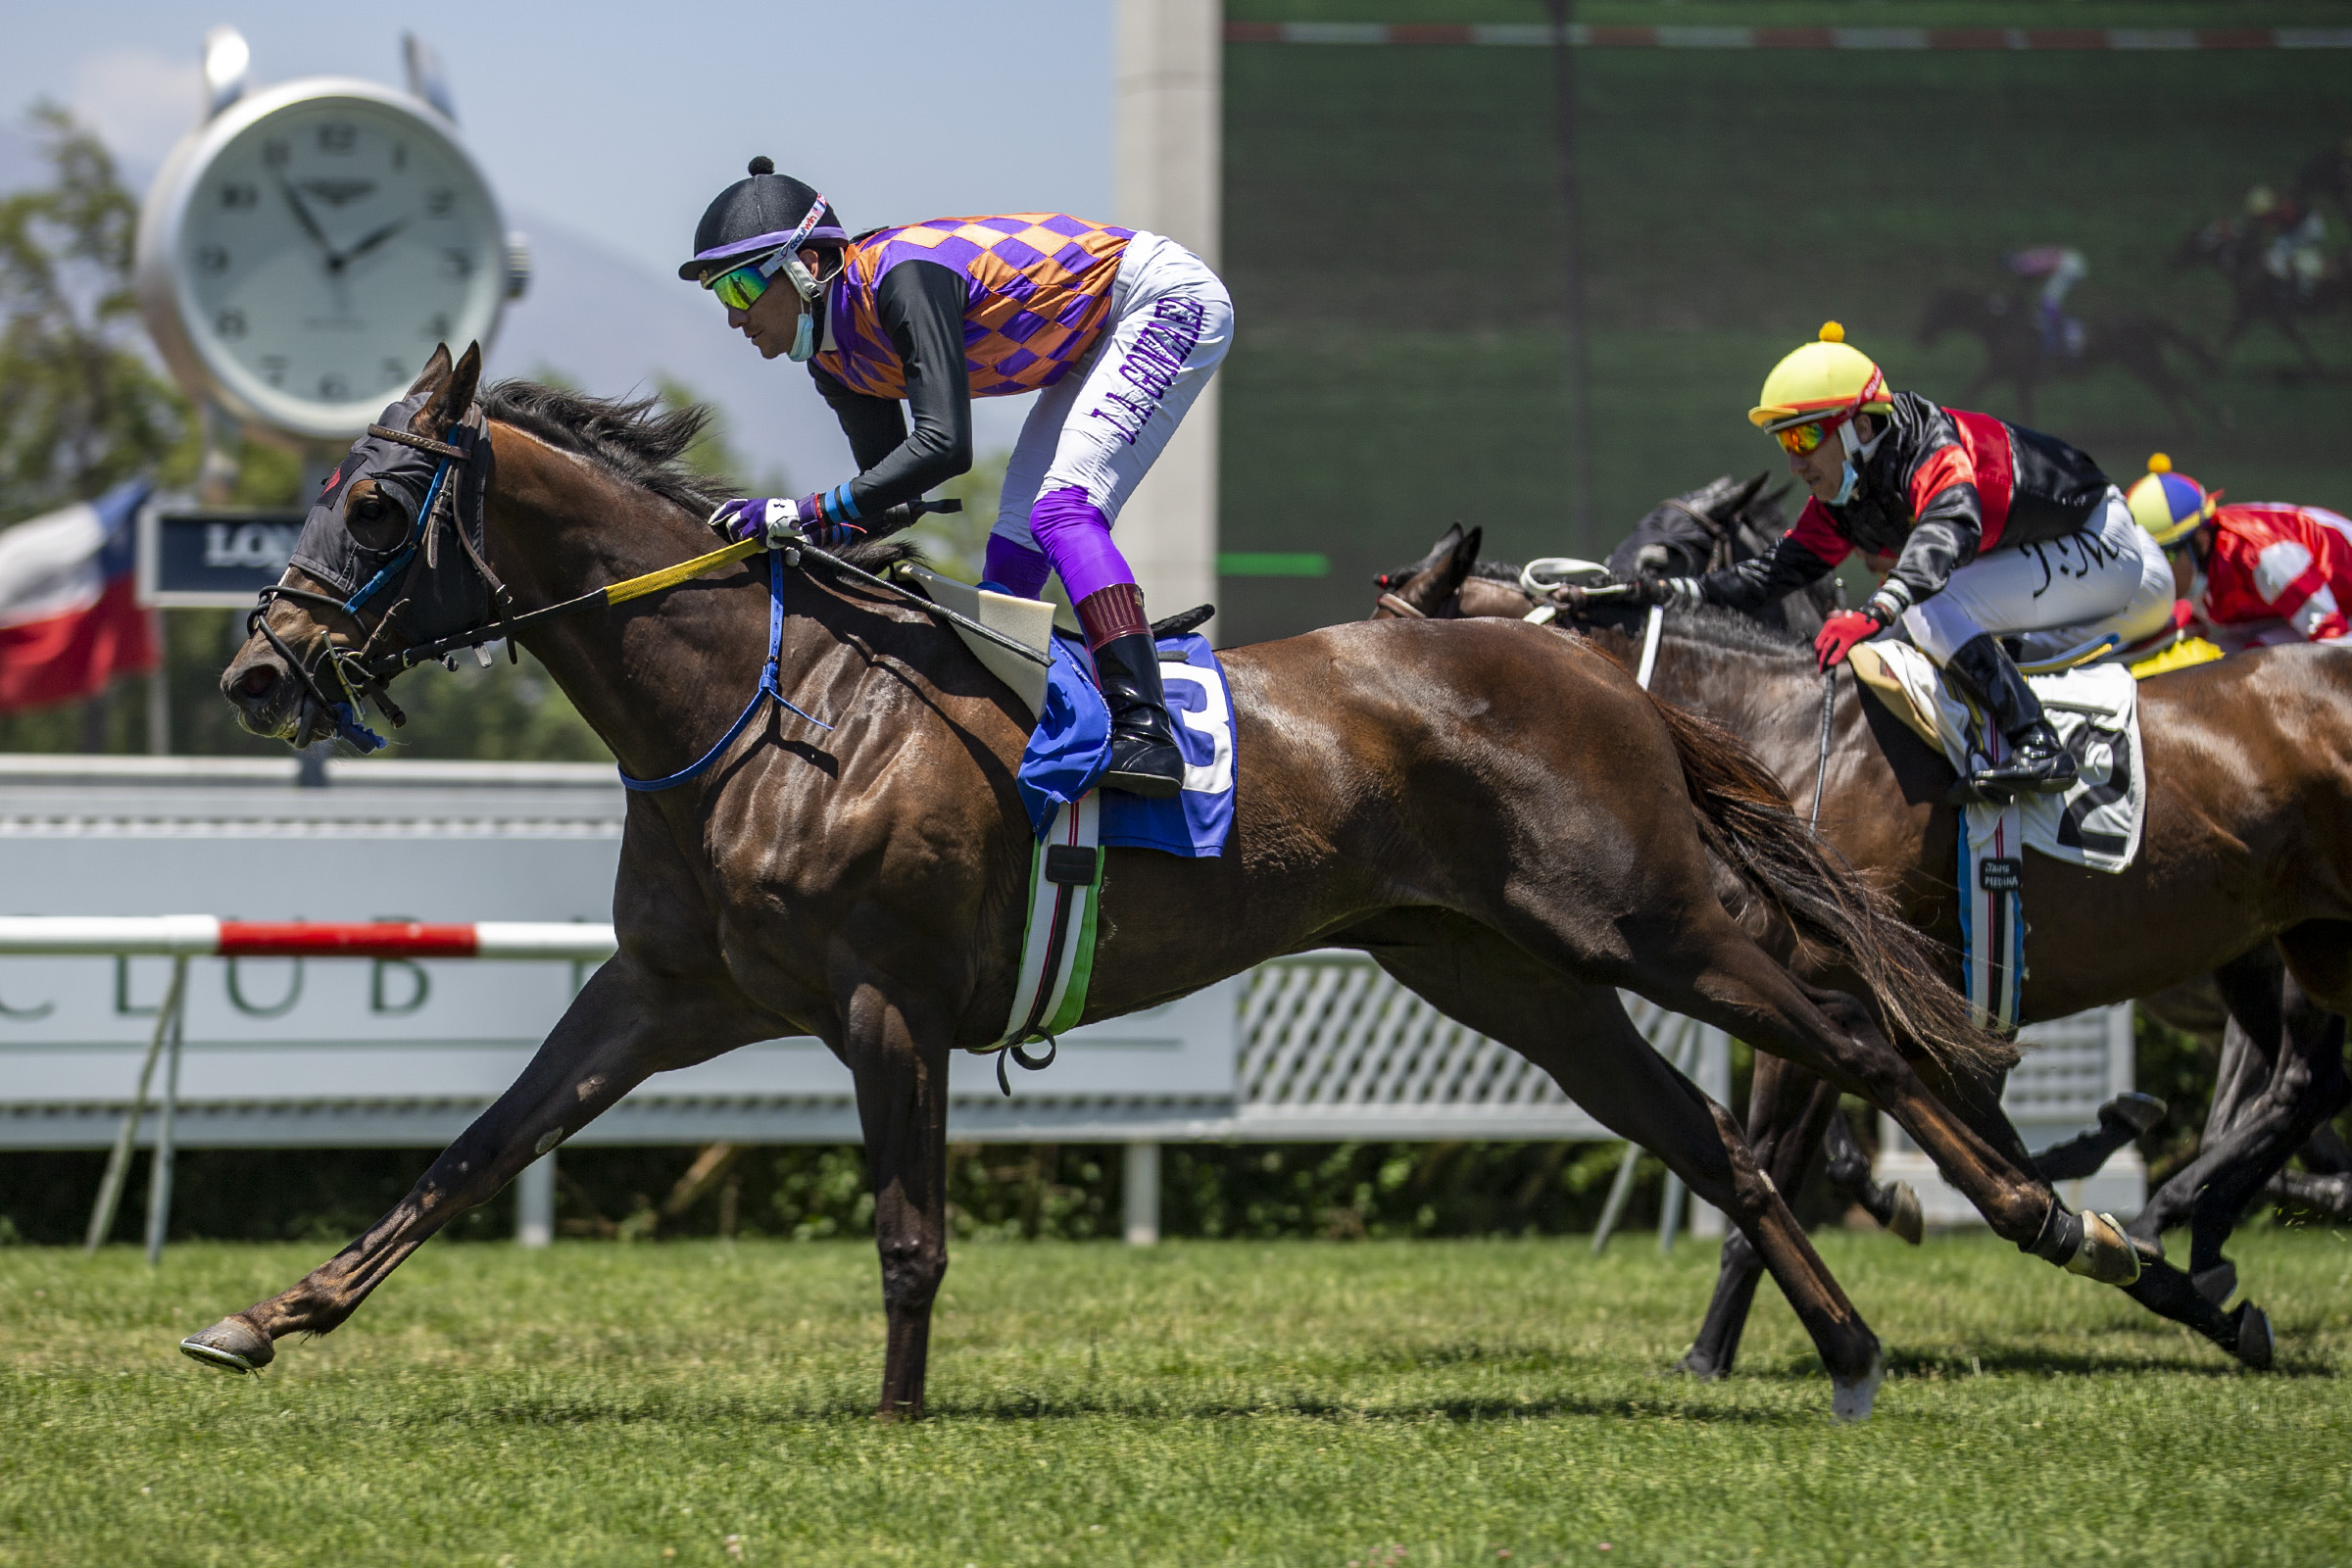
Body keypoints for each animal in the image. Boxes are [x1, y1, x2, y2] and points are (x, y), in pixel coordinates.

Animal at [185, 345, 2128, 1422]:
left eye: (376, 507)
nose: (261, 674)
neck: (769, 704)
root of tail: (1588, 667)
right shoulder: (667, 992)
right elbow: (472, 1149)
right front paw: (265, 1318)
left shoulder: (888, 1002)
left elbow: (908, 1235)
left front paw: (895, 1426)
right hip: (1512, 973)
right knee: (1718, 1135)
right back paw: (1856, 1349)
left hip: (1650, 918)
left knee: (1861, 1045)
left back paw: (2085, 1249)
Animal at [1373, 530, 2352, 1371]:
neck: (1781, 730)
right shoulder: (1896, 1003)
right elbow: (1977, 1144)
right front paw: (2175, 1286)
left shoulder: (1832, 982)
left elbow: (1779, 1158)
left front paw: (1710, 1354)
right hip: (2296, 943)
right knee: (2306, 1086)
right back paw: (2193, 1219)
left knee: (2299, 1087)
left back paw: (2178, 1211)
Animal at [1914, 286, 2220, 428]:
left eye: (1935, 309)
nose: (1921, 335)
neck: (2000, 323)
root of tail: (2142, 319)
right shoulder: (2008, 375)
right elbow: (1976, 393)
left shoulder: (2010, 374)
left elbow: (1974, 393)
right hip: (2144, 363)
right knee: (2172, 389)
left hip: (2144, 362)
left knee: (2177, 386)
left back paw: (2213, 420)